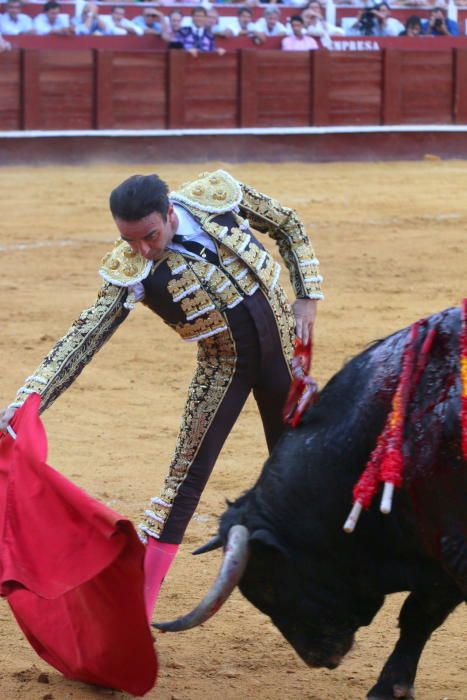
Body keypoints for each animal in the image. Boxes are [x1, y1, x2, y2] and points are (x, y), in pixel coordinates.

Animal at [158, 308, 467, 700]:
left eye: (268, 584)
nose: (319, 657)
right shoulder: (438, 548)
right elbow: (420, 614)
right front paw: (391, 687)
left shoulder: (452, 547)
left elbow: (420, 612)